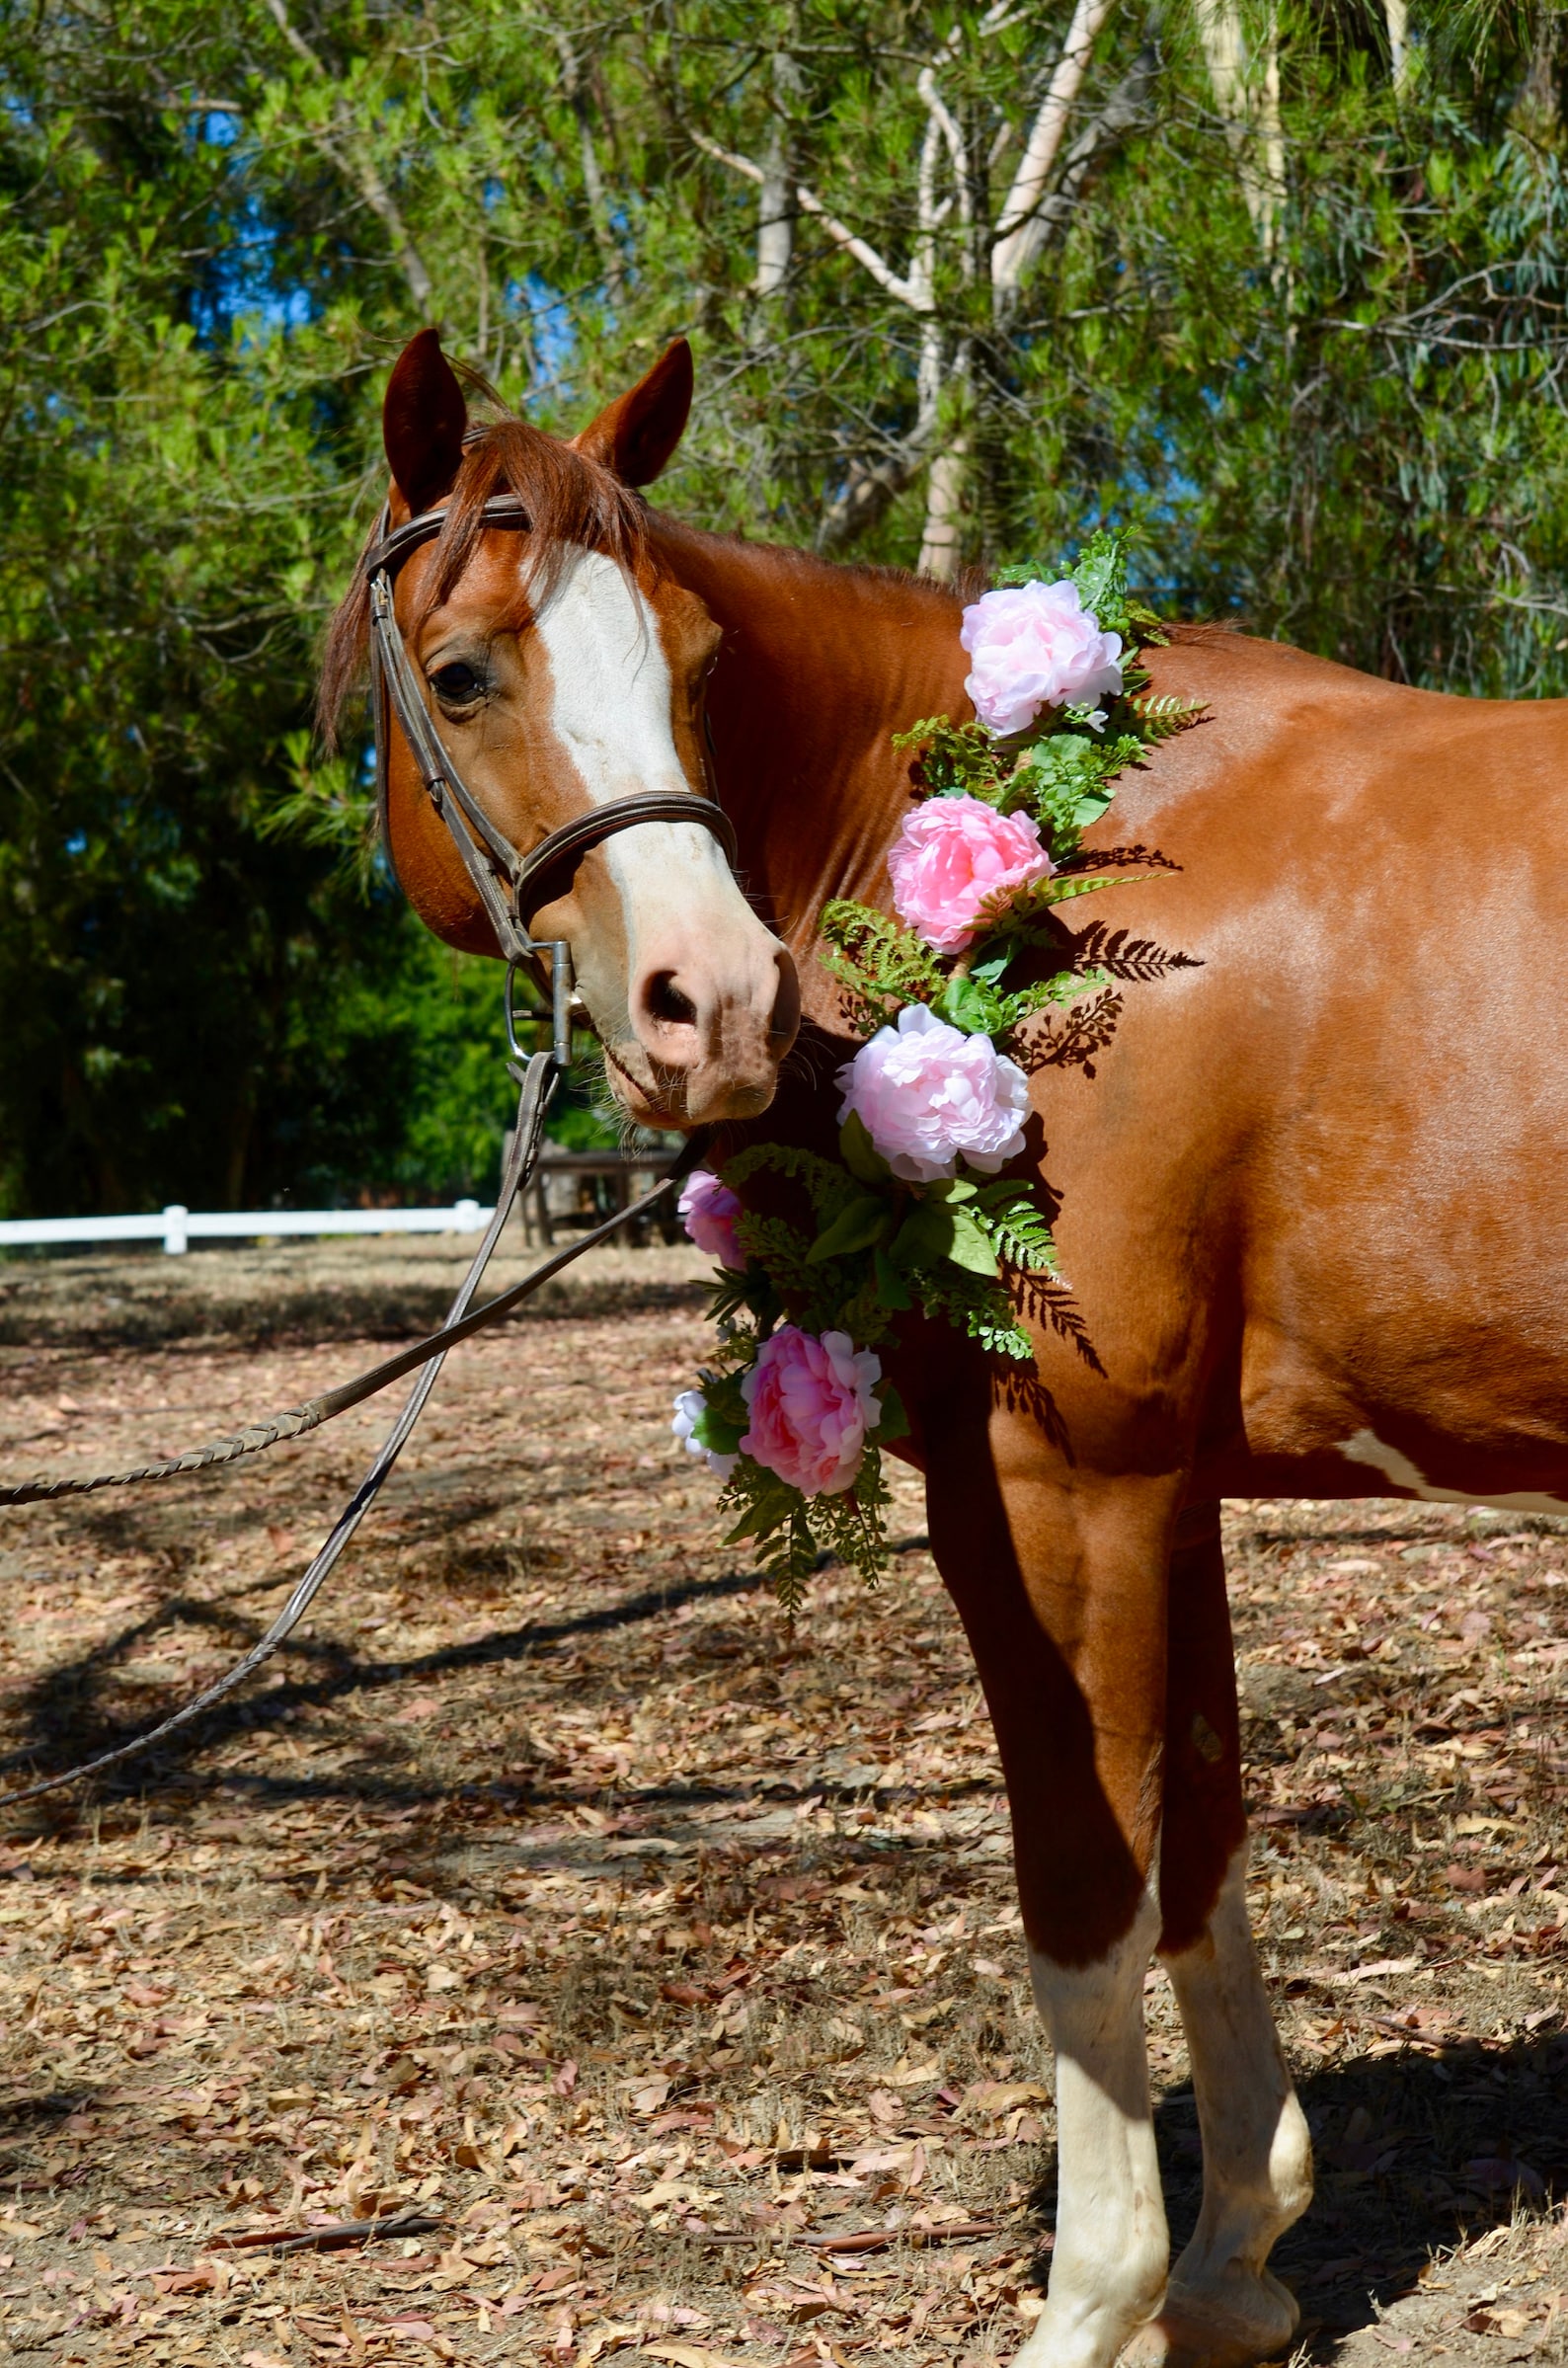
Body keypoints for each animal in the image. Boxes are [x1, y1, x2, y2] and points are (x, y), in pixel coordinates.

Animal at [323, 327, 1568, 2368]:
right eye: (463, 672)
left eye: (695, 670)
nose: (712, 1001)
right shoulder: (1166, 1489)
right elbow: (1199, 1838)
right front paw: (1233, 2260)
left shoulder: (1061, 1489)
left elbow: (1085, 1878)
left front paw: (1101, 2293)